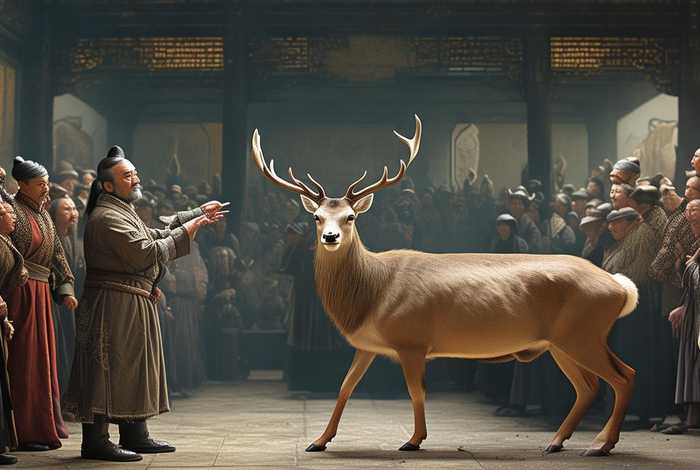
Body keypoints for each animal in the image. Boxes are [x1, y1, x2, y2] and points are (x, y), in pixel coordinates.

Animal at [250, 115, 639, 457]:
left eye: (351, 216)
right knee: (589, 386)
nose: (330, 237)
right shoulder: (367, 344)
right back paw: (558, 442)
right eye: (316, 217)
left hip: (583, 332)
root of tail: (621, 288)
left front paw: (414, 440)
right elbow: (345, 386)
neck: (371, 294)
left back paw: (601, 444)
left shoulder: (412, 339)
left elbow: (416, 391)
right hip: (561, 341)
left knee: (624, 376)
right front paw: (318, 440)